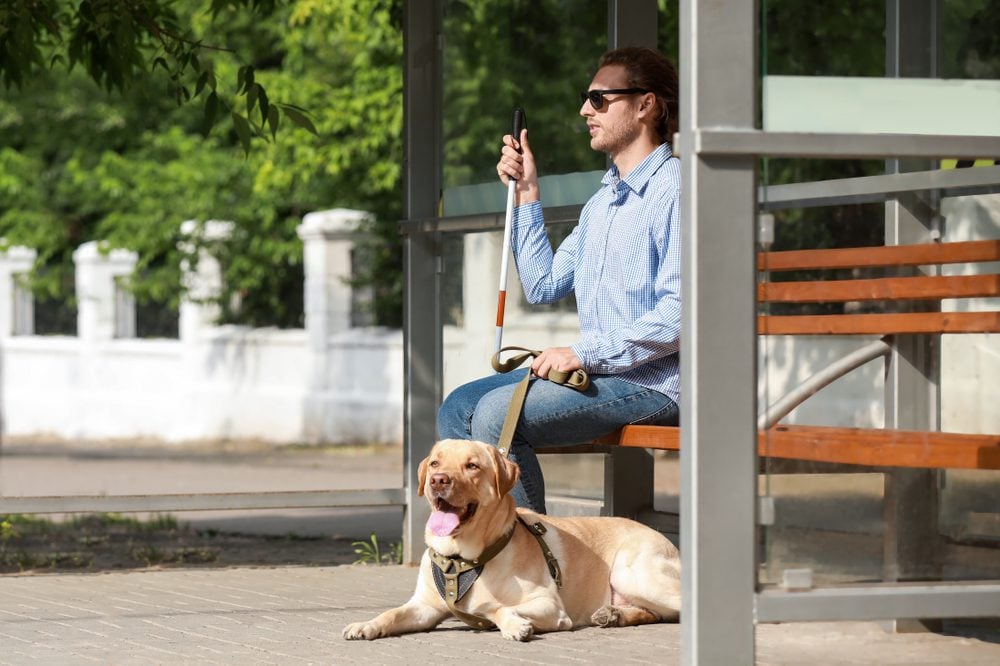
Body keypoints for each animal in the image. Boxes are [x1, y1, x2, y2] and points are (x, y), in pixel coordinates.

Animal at [344, 436, 680, 640]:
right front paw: (366, 624)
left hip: (631, 572)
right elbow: (392, 612)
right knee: (656, 613)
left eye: (472, 465)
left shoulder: (549, 604)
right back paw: (613, 614)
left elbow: (495, 607)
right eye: (436, 463)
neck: (460, 560)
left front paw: (514, 623)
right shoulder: (424, 607)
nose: (438, 480)